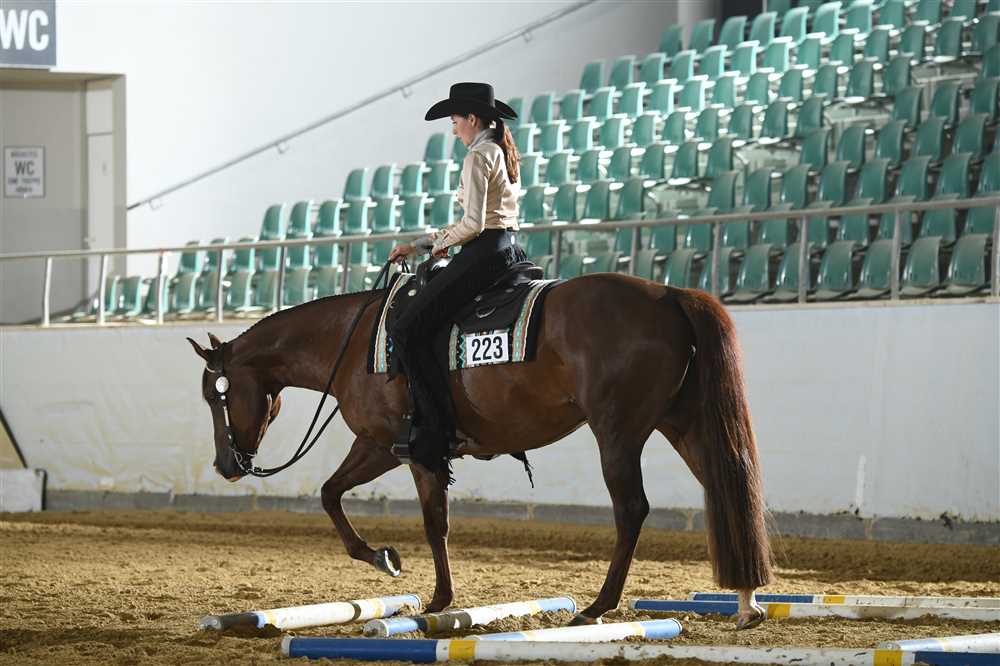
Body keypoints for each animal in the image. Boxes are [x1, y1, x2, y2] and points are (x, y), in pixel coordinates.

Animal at [186, 271, 773, 629]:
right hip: (683, 423)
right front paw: (384, 558)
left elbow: (431, 523)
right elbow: (332, 494)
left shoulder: (407, 449)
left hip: (617, 432)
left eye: (216, 395)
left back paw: (596, 607)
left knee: (632, 510)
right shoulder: (377, 444)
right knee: (727, 490)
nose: (225, 464)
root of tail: (667, 294)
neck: (351, 345)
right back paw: (747, 602)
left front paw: (431, 595)